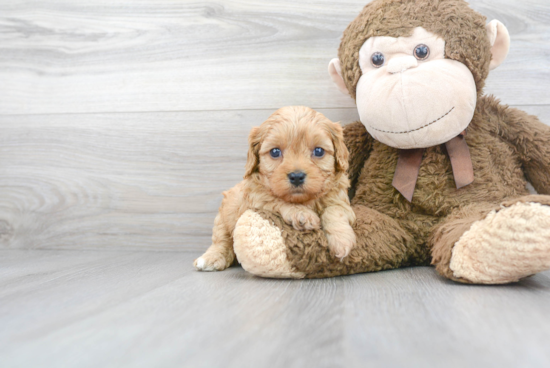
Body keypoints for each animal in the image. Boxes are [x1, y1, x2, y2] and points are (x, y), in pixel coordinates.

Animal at [194, 105, 358, 272]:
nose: (296, 176)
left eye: (318, 151)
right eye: (275, 152)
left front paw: (341, 241)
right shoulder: (257, 199)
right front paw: (302, 214)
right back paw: (210, 259)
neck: (304, 200)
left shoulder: (341, 201)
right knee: (221, 240)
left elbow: (335, 211)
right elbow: (276, 200)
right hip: (224, 216)